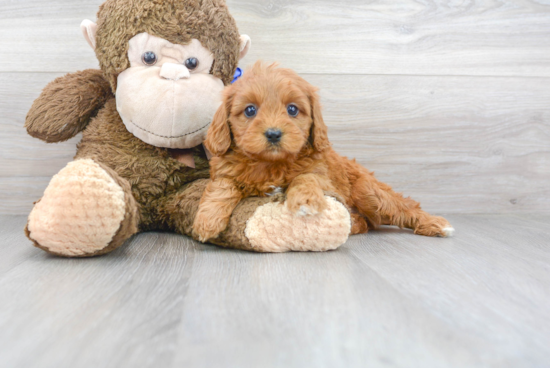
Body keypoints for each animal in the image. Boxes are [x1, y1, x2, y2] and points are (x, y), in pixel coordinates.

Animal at [194, 61, 458, 243]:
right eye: (250, 110)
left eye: (292, 109)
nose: (273, 134)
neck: (270, 163)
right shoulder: (225, 170)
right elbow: (223, 187)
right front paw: (207, 220)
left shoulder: (322, 175)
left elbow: (305, 177)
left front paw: (305, 202)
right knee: (368, 222)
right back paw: (355, 223)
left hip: (367, 191)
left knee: (402, 207)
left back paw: (435, 224)